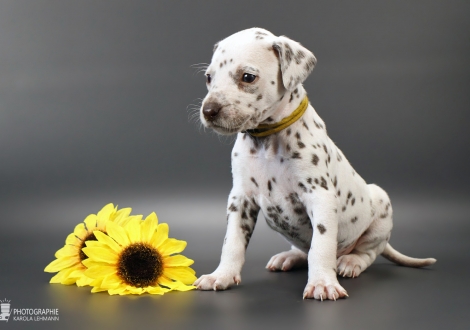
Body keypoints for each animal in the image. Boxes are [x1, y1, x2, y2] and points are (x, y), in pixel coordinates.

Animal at [193, 28, 436, 300]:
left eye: (247, 77)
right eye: (208, 77)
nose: (208, 111)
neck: (268, 140)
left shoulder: (319, 196)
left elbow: (322, 245)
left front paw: (322, 282)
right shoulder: (240, 199)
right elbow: (232, 242)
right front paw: (221, 275)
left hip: (380, 206)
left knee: (367, 252)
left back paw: (350, 261)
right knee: (303, 249)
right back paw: (289, 257)